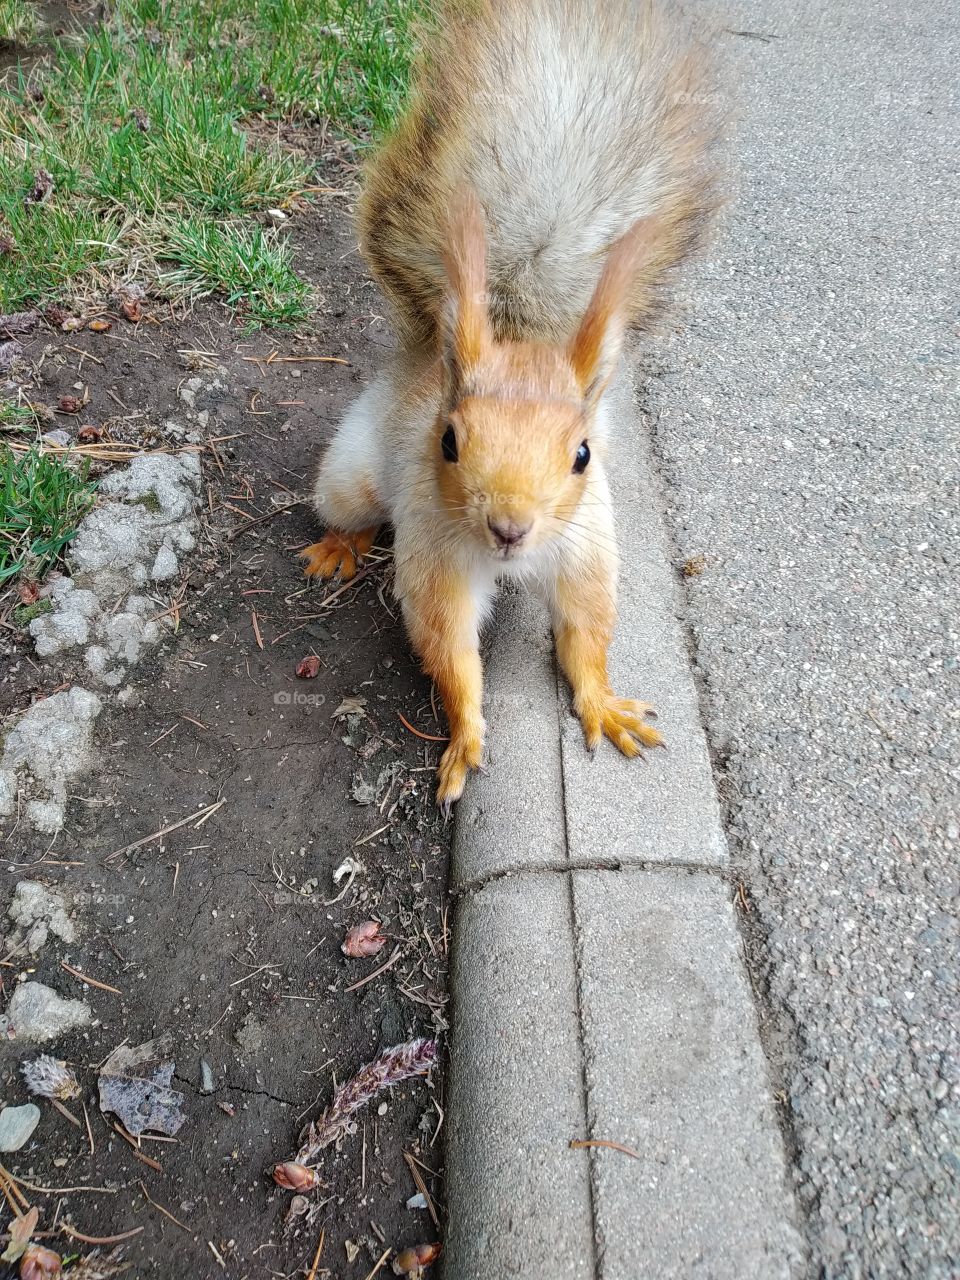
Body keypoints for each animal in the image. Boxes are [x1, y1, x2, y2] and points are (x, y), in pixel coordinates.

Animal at [301, 0, 719, 811]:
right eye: (448, 442)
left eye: (583, 453)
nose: (509, 528)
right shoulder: (434, 552)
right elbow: (446, 645)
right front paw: (465, 735)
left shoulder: (588, 544)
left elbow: (586, 630)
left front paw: (602, 702)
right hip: (352, 471)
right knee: (346, 507)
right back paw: (340, 544)